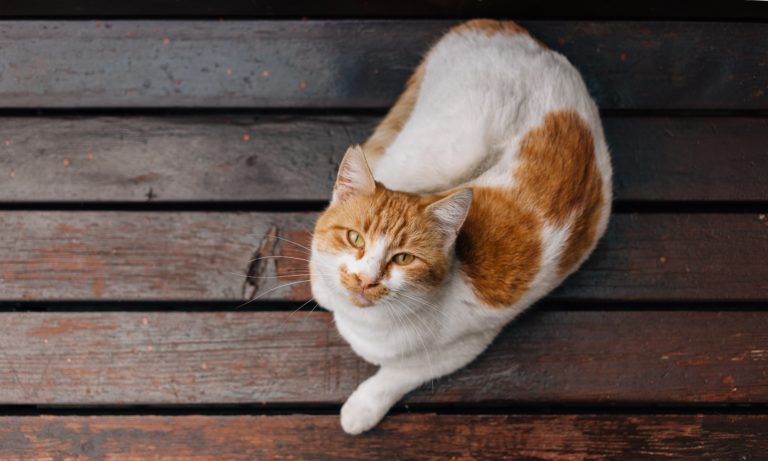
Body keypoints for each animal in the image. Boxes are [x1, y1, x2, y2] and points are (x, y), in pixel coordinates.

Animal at [308, 18, 608, 434]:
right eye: (355, 238)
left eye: (403, 258)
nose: (367, 279)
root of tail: (511, 29)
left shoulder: (463, 347)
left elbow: (397, 376)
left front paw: (361, 409)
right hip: (435, 154)